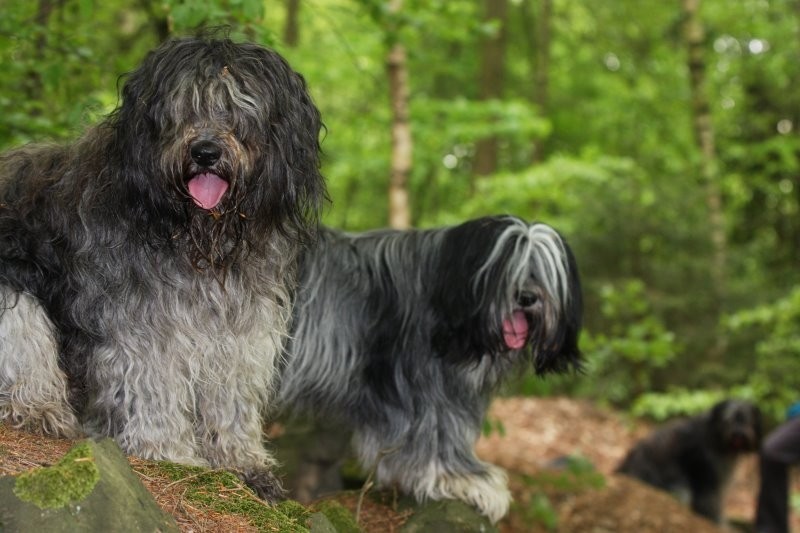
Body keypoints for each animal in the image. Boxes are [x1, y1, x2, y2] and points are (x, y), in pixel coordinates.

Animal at [0, 35, 324, 496]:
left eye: (239, 107)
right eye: (182, 108)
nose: (205, 153)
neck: (197, 237)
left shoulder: (241, 329)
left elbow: (231, 395)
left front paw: (242, 461)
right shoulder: (142, 324)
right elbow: (155, 383)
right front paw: (170, 453)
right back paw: (43, 410)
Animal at [280, 215, 580, 520]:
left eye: (539, 271)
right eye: (505, 269)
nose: (527, 297)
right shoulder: (421, 389)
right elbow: (433, 434)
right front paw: (462, 479)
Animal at [620, 400, 764, 520]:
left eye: (746, 419)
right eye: (728, 420)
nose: (739, 434)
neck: (713, 435)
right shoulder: (706, 476)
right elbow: (710, 503)